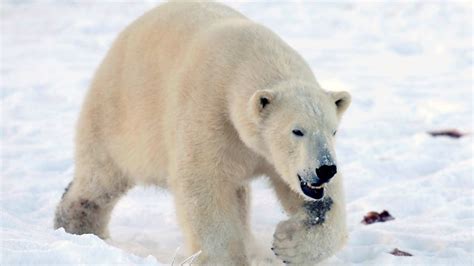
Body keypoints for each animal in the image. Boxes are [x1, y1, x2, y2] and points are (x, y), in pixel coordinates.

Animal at [54, 1, 352, 264]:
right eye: (297, 131)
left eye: (333, 131)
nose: (325, 169)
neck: (248, 61)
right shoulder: (210, 114)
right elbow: (204, 187)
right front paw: (227, 259)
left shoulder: (272, 155)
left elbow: (321, 199)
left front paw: (287, 242)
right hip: (117, 117)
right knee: (99, 180)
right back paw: (76, 226)